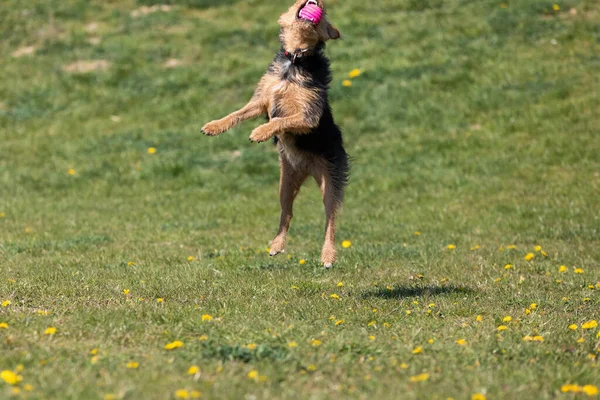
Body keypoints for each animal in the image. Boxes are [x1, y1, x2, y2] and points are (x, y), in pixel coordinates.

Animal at [202, 0, 346, 268]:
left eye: (325, 15)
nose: (319, 2)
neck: (296, 59)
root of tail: (306, 169)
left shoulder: (308, 116)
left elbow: (280, 119)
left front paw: (260, 132)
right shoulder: (261, 99)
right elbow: (237, 113)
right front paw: (214, 126)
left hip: (330, 179)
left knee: (330, 220)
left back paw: (327, 256)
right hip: (285, 182)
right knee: (287, 212)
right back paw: (277, 245)